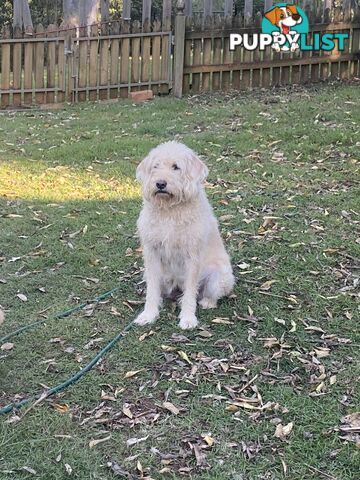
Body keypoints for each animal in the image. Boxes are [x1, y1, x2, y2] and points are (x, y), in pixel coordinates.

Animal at [134, 141, 235, 330]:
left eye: (176, 167)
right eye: (155, 166)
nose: (160, 183)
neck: (170, 210)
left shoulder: (192, 256)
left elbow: (190, 293)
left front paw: (188, 318)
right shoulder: (152, 253)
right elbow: (152, 290)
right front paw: (148, 314)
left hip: (220, 276)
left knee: (207, 294)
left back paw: (207, 302)